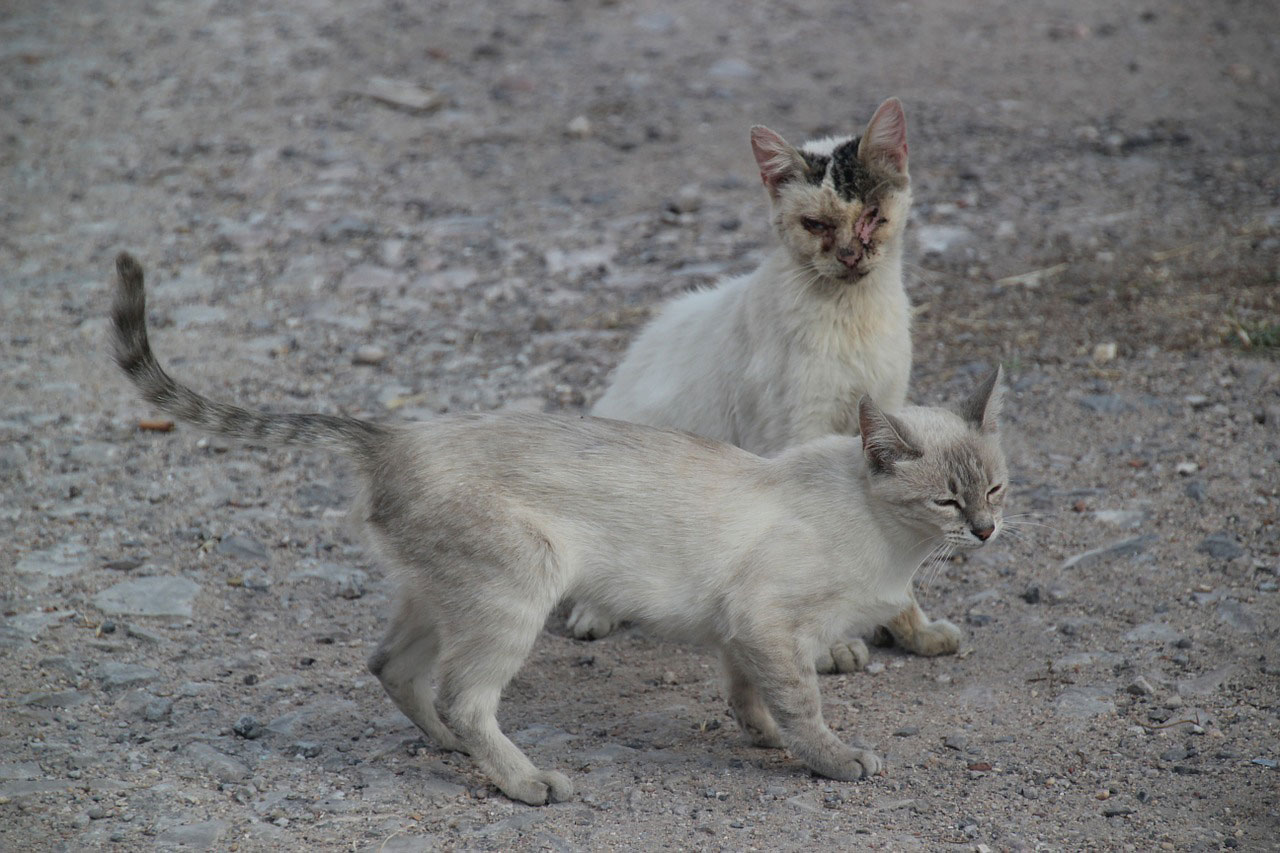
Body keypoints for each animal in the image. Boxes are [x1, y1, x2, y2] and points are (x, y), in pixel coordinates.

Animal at [581, 97, 962, 671]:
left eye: (872, 215)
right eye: (816, 224)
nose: (850, 254)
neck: (851, 317)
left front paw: (911, 630)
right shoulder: (798, 433)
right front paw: (834, 645)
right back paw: (596, 610)